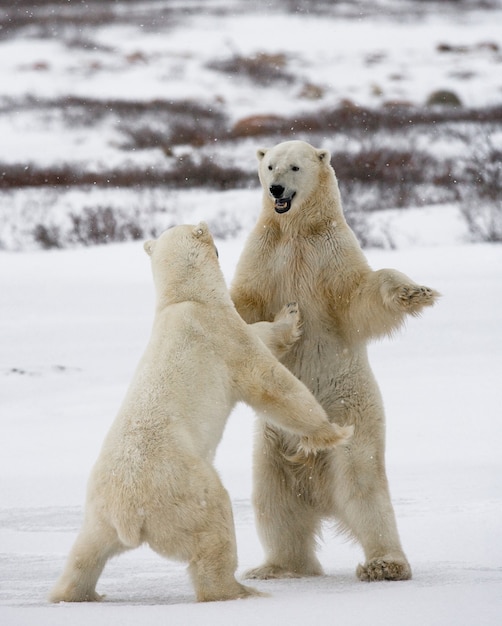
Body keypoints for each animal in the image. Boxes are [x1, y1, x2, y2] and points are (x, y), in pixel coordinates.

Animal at [49, 222, 352, 604]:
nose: (209, 229)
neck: (185, 300)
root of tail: (130, 517)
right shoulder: (223, 335)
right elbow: (271, 378)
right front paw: (334, 431)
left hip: (99, 512)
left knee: (86, 551)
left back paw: (74, 593)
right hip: (186, 490)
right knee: (214, 524)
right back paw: (237, 589)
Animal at [231, 140, 440, 580]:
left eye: (295, 167)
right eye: (270, 165)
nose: (276, 190)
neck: (295, 231)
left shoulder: (330, 252)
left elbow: (360, 295)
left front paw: (413, 292)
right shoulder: (264, 253)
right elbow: (245, 303)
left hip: (351, 417)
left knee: (363, 490)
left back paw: (384, 564)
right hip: (271, 442)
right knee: (272, 501)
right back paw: (278, 567)